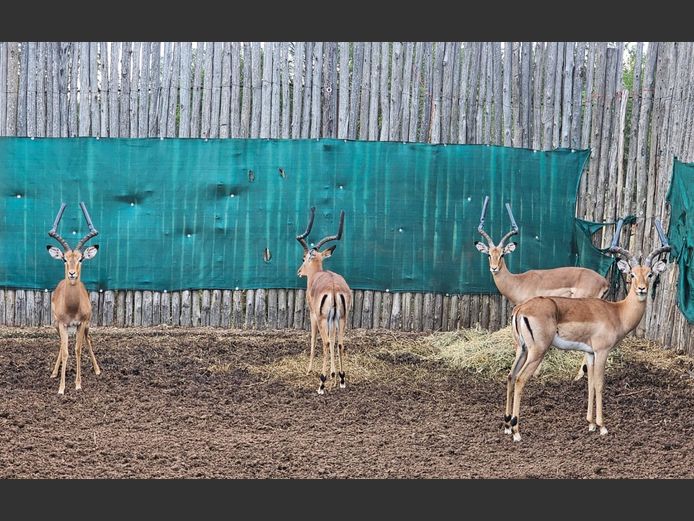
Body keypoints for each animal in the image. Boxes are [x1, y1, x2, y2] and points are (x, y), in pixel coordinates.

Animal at [46, 202, 101, 395]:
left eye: (81, 258)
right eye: (64, 259)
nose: (72, 274)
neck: (71, 307)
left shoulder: (81, 323)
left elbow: (77, 349)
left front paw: (77, 384)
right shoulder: (62, 324)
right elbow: (65, 352)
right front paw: (61, 388)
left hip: (87, 325)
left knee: (87, 340)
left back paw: (97, 370)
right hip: (56, 325)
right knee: (61, 346)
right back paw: (54, 373)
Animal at [296, 207, 352, 395]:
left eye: (304, 258)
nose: (299, 272)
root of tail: (334, 288)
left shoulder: (313, 316)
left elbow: (314, 340)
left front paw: (309, 370)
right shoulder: (333, 320)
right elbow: (334, 341)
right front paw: (334, 376)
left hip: (322, 319)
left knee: (326, 343)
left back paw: (321, 384)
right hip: (342, 319)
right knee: (339, 343)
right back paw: (342, 380)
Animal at [474, 196, 609, 379]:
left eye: (502, 254)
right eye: (489, 254)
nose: (494, 268)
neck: (518, 281)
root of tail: (604, 281)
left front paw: (536, 371)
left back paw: (579, 375)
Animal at [504, 218, 670, 441]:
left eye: (650, 274)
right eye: (632, 274)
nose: (642, 289)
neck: (617, 312)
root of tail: (522, 308)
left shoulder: (590, 353)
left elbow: (589, 383)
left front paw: (590, 423)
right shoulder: (602, 351)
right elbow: (599, 384)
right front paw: (602, 426)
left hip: (521, 349)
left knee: (511, 376)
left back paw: (506, 425)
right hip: (537, 351)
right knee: (521, 379)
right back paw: (516, 431)